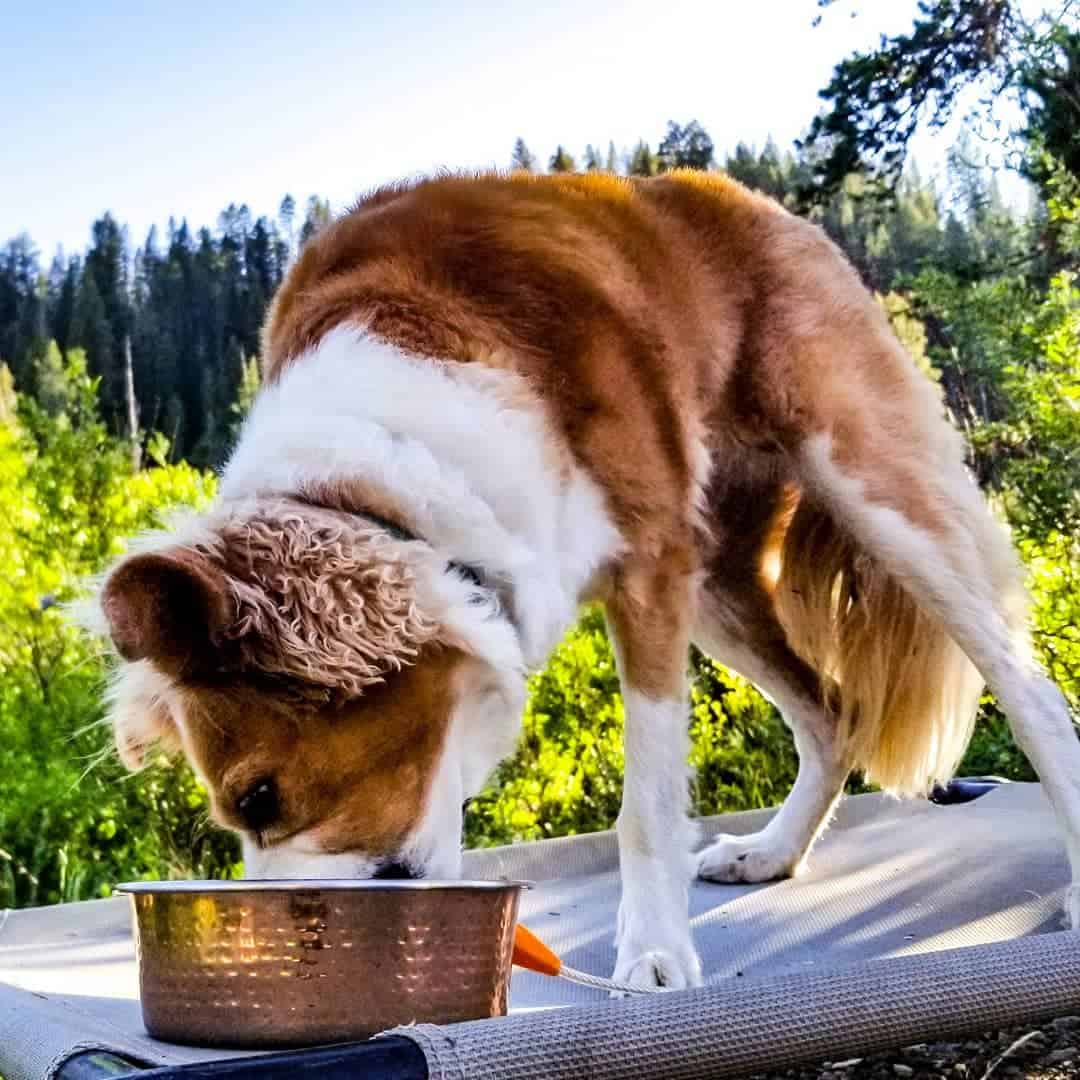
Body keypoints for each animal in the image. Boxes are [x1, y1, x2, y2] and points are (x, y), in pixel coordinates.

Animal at [84, 168, 1080, 989]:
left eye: (258, 798)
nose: (286, 945)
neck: (395, 476)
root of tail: (746, 198)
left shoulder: (648, 579)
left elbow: (645, 808)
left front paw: (654, 953)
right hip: (719, 584)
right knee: (833, 714)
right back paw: (771, 852)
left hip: (877, 492)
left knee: (1026, 689)